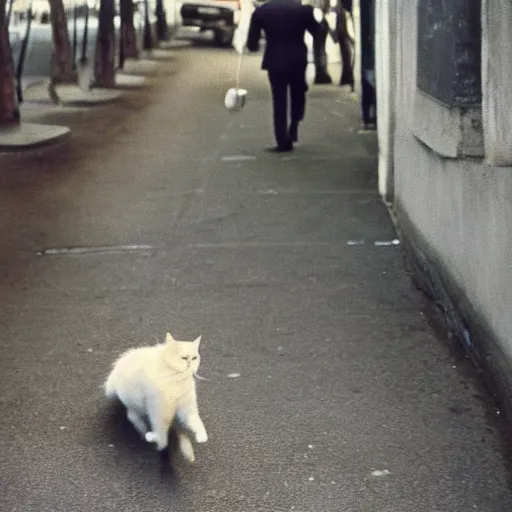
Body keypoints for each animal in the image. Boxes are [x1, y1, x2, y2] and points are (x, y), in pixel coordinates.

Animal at [104, 332, 208, 464]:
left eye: (194, 358)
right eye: (183, 358)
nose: (189, 362)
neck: (177, 380)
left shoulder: (187, 408)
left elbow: (196, 422)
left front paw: (202, 437)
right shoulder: (158, 410)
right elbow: (161, 433)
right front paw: (157, 441)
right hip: (137, 403)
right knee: (132, 416)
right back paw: (143, 432)